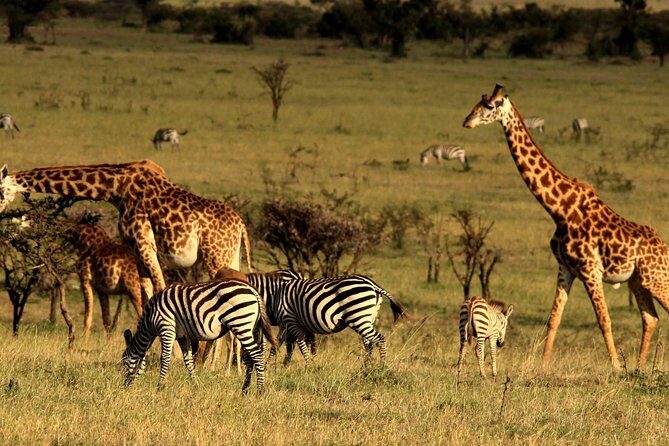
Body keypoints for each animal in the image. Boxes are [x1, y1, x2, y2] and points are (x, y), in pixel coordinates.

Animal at [0, 160, 252, 299]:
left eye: (0, 191)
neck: (115, 188)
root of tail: (241, 225)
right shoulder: (135, 249)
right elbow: (147, 293)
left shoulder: (144, 243)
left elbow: (161, 289)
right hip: (231, 255)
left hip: (215, 256)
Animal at [463, 84, 669, 370]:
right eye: (479, 101)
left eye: (490, 106)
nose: (467, 121)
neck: (559, 209)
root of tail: (665, 249)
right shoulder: (565, 268)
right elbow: (554, 319)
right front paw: (543, 365)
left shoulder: (590, 269)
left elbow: (604, 319)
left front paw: (616, 366)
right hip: (638, 280)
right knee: (650, 318)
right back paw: (638, 367)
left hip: (655, 278)